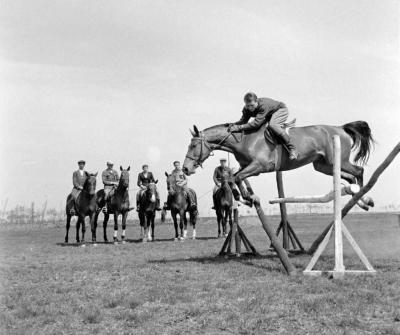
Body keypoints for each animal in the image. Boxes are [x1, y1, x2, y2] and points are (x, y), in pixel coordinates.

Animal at [184, 121, 376, 210]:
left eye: (193, 146)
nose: (186, 169)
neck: (244, 140)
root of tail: (341, 128)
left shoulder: (259, 166)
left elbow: (237, 177)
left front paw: (246, 197)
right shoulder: (248, 166)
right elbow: (233, 177)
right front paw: (245, 197)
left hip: (338, 161)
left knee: (359, 171)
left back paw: (365, 199)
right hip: (324, 166)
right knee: (350, 178)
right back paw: (360, 200)